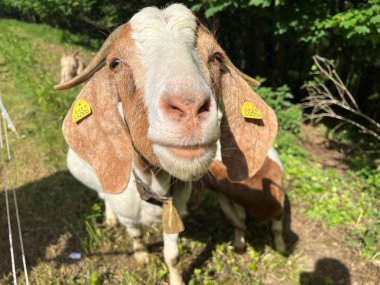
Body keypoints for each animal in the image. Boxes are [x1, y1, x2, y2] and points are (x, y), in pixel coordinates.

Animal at [53, 5, 278, 284]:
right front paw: (142, 257)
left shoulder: (175, 213)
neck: (154, 187)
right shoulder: (129, 215)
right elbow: (136, 236)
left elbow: (173, 256)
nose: (189, 107)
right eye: (115, 63)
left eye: (216, 56)